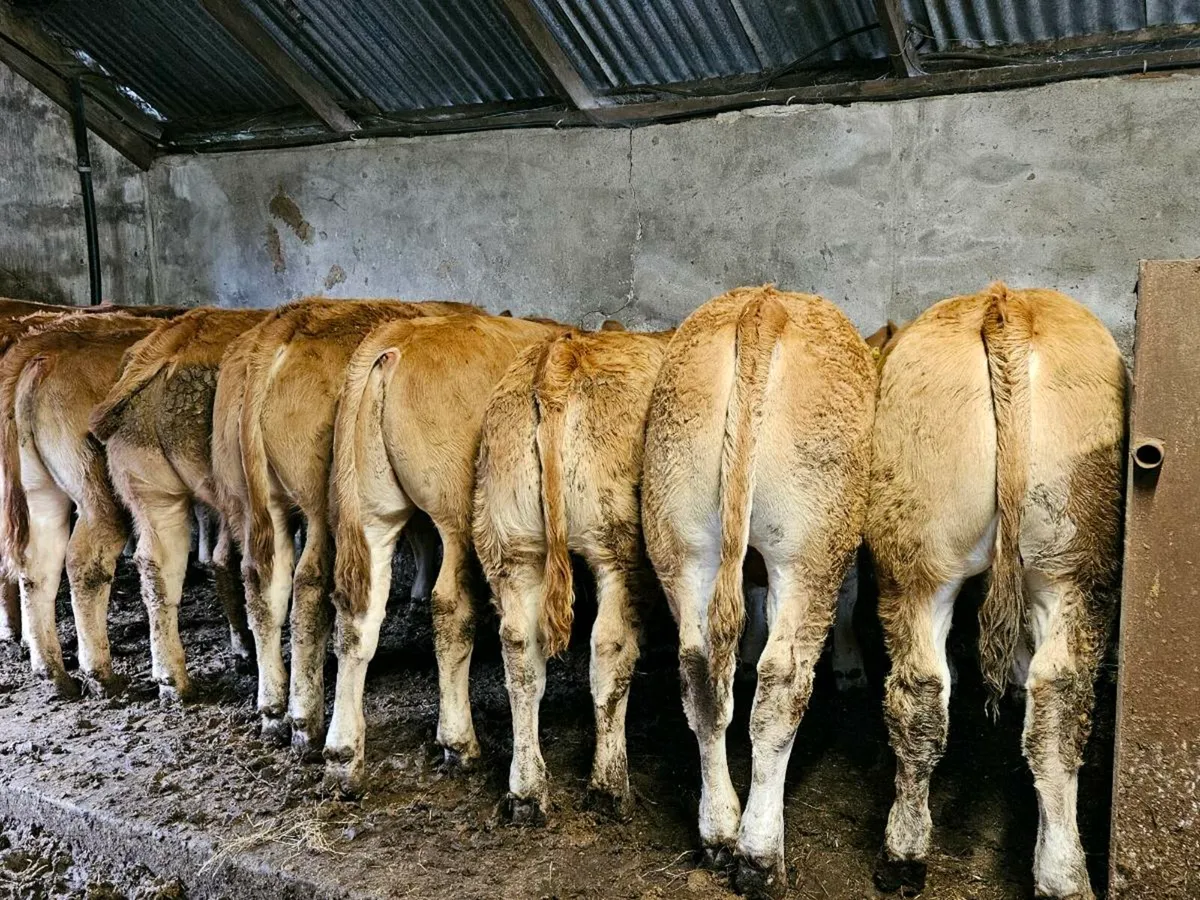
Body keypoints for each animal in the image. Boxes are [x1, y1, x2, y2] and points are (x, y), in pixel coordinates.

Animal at [0, 311, 176, 696]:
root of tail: (42, 357)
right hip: (99, 492)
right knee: (85, 560)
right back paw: (101, 673)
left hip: (40, 491)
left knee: (38, 565)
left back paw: (52, 670)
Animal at [327, 312, 566, 795]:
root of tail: (395, 341)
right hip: (456, 514)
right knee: (451, 607)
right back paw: (459, 740)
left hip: (370, 509)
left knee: (357, 616)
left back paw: (343, 754)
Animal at [472, 324, 668, 822]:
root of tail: (561, 357)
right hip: (619, 546)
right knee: (610, 646)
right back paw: (610, 785)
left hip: (509, 544)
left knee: (520, 654)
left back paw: (526, 791)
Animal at [640, 286, 876, 897]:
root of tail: (765, 306)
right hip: (810, 544)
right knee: (781, 686)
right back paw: (760, 853)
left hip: (681, 538)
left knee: (699, 674)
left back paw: (720, 832)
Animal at [867, 284, 1125, 900]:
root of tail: (1005, 306)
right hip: (1067, 562)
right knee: (1053, 698)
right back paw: (1059, 872)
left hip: (921, 563)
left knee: (924, 691)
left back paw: (906, 855)